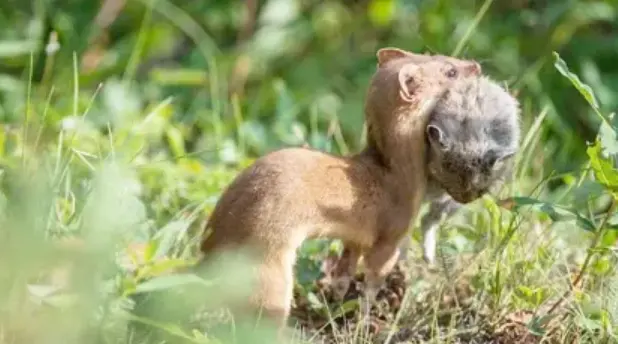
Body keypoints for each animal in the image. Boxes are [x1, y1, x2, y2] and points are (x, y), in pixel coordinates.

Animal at [195, 49, 478, 330]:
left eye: (433, 54)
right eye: (450, 70)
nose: (475, 65)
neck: (396, 175)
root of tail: (213, 248)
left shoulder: (355, 235)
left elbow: (346, 267)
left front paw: (337, 302)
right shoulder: (393, 230)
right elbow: (376, 273)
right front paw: (366, 316)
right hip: (268, 269)